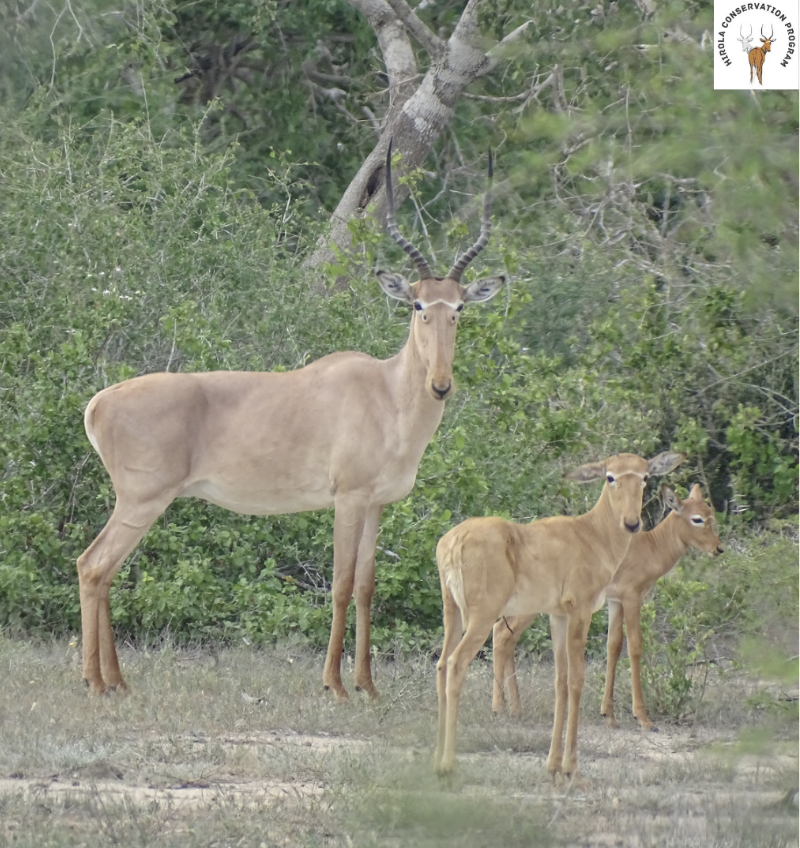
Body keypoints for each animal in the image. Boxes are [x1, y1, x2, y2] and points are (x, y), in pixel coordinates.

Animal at [76, 141, 505, 699]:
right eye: (417, 304)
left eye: (458, 307)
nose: (441, 384)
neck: (385, 393)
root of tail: (99, 402)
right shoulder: (347, 500)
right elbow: (340, 585)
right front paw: (335, 686)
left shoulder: (376, 505)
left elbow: (366, 587)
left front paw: (368, 687)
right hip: (142, 502)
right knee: (93, 566)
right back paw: (95, 681)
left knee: (106, 572)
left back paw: (118, 682)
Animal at [433, 451, 685, 780]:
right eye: (610, 476)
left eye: (644, 477)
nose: (632, 523)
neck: (590, 533)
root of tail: (453, 542)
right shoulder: (581, 611)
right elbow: (577, 680)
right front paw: (570, 766)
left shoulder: (558, 617)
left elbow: (561, 681)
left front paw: (553, 764)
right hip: (482, 617)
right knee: (456, 663)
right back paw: (448, 764)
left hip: (452, 613)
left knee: (440, 664)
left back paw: (436, 758)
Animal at [492, 484, 724, 732]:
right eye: (697, 518)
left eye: (710, 512)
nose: (718, 548)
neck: (651, 546)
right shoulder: (632, 598)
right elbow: (634, 646)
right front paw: (643, 718)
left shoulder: (616, 601)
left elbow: (613, 645)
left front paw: (608, 715)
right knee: (502, 634)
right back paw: (500, 709)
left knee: (506, 635)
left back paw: (516, 708)